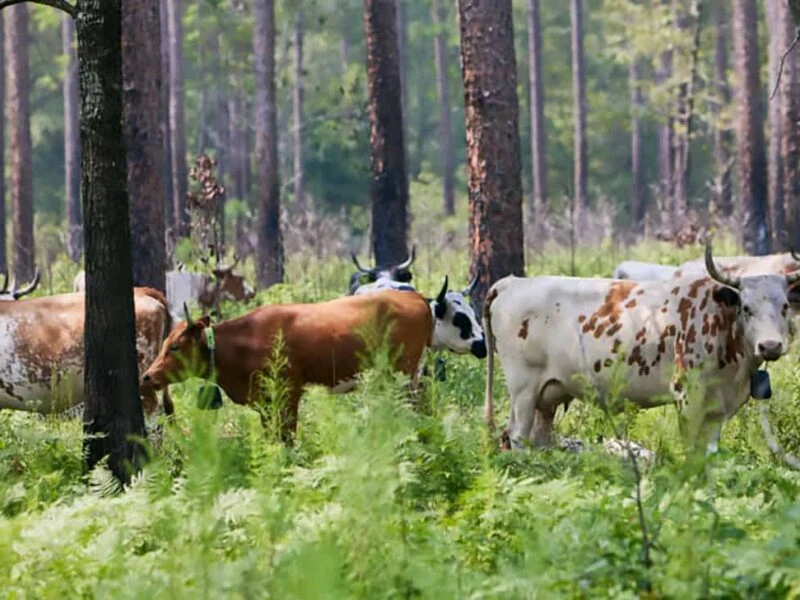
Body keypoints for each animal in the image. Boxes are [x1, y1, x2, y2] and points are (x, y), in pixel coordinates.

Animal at [483, 243, 800, 455]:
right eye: (747, 308)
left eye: (785, 306)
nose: (770, 345)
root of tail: (511, 282)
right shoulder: (688, 396)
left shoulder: (716, 407)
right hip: (523, 391)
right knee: (516, 437)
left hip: (547, 396)